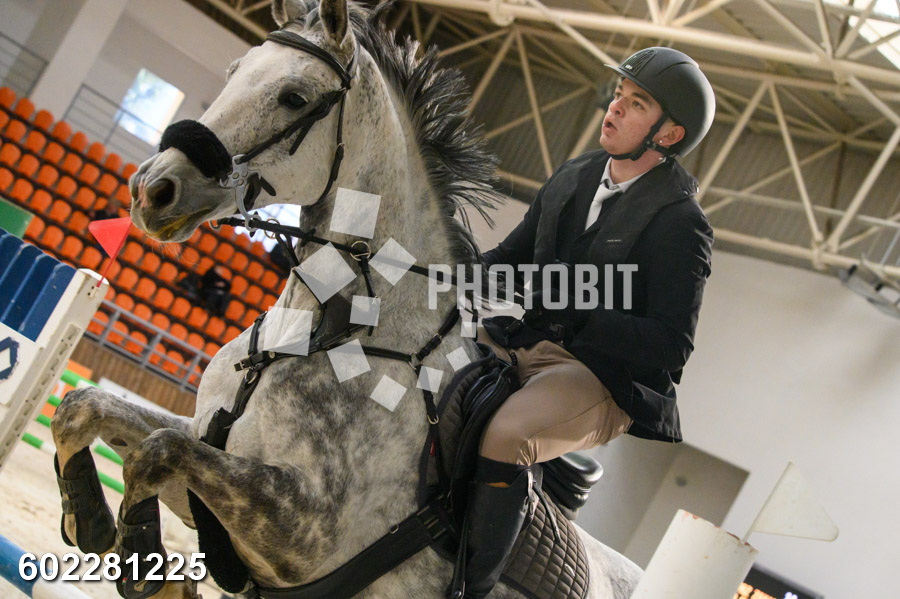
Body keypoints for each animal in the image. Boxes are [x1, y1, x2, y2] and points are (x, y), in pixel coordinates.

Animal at [49, 0, 643, 597]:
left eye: (294, 97)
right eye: (235, 70)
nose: (153, 190)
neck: (328, 331)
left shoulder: (302, 533)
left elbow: (158, 453)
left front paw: (140, 556)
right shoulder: (207, 457)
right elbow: (86, 408)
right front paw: (93, 522)